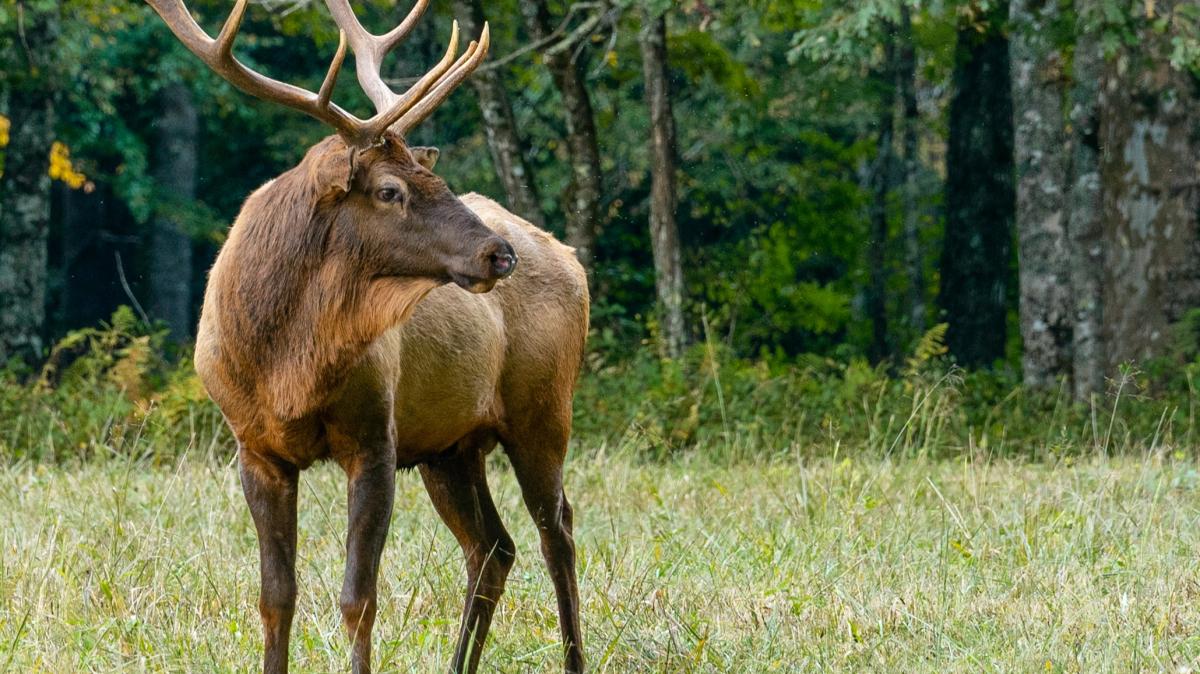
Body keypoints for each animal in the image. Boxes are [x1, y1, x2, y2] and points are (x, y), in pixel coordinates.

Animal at [146, 2, 590, 666]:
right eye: (390, 190)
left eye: (437, 181)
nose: (498, 253)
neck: (286, 365)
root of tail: (572, 259)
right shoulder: (254, 446)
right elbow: (275, 597)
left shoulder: (376, 435)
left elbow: (359, 597)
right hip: (450, 446)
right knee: (492, 546)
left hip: (543, 409)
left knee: (556, 530)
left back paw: (572, 658)